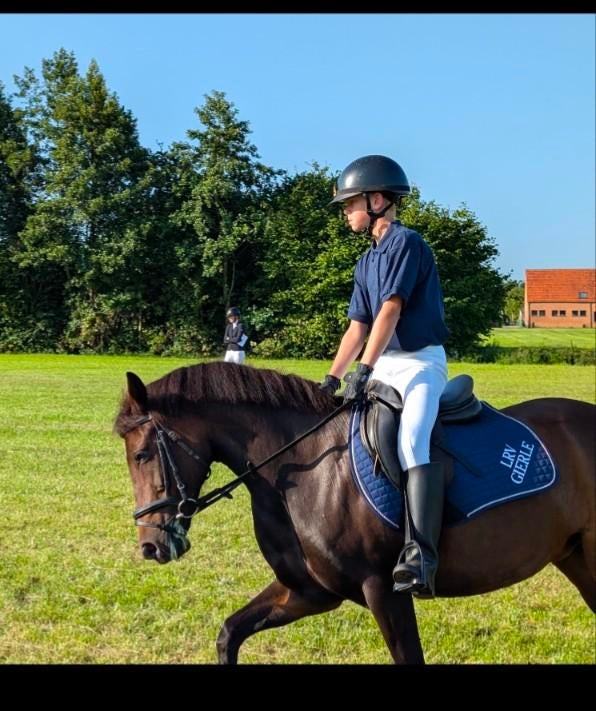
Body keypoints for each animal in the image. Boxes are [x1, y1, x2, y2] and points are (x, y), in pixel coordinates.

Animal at [114, 361, 595, 664]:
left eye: (141, 455)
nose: (150, 546)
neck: (302, 467)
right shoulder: (309, 591)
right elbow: (229, 633)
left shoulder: (383, 589)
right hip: (575, 557)